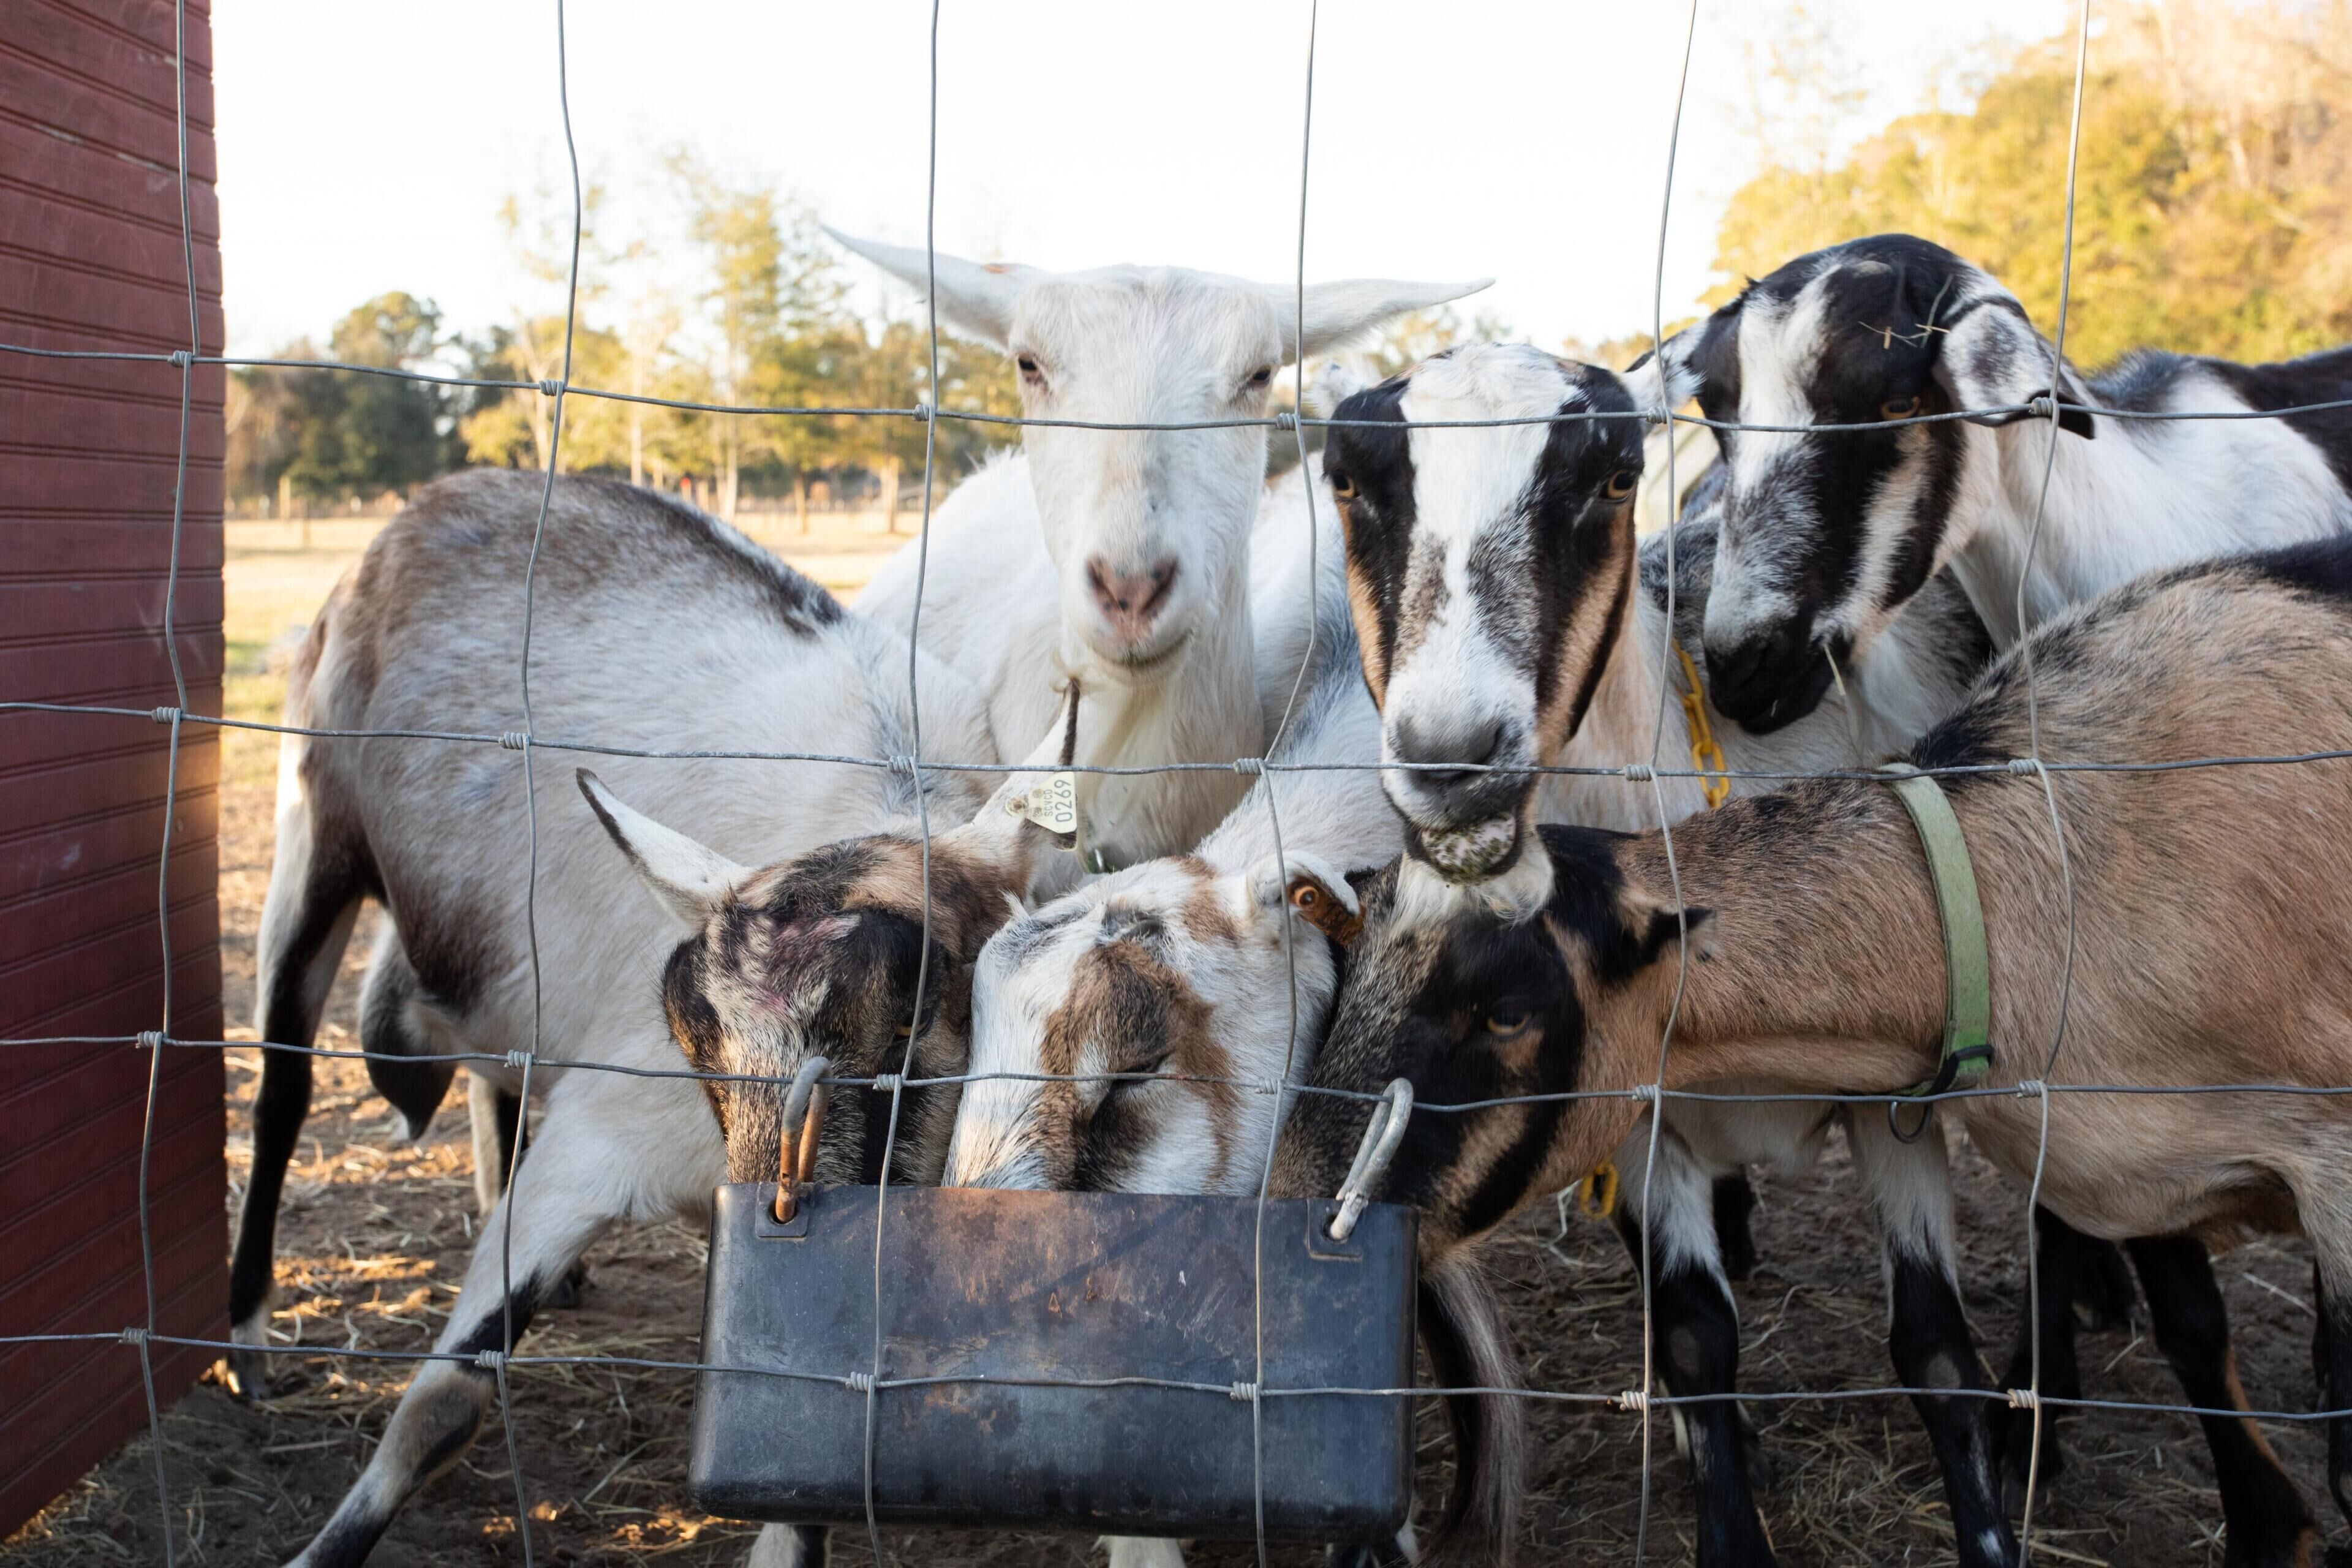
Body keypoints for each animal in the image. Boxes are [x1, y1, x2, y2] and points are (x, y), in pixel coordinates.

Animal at [245, 469, 1052, 1568]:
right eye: (693, 1039)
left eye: (905, 1034)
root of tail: (442, 498)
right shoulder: (598, 1136)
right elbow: (442, 1403)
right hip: (313, 821)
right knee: (282, 1081)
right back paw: (243, 1341)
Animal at [1317, 343, 2018, 1566]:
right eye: (1348, 481)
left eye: (1614, 476)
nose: (1452, 761)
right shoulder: (1626, 1103)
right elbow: (1696, 1343)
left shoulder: (1899, 1089)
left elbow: (1936, 1345)